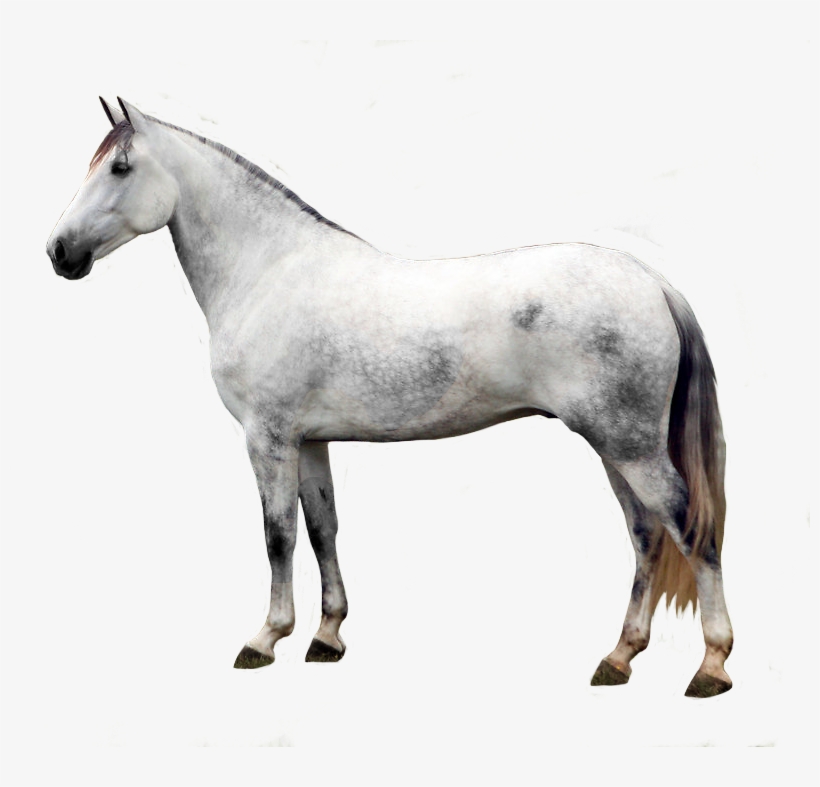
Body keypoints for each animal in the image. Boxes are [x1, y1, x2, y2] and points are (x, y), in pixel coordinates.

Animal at [47, 97, 733, 698]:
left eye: (119, 168)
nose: (58, 252)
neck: (267, 272)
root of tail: (654, 282)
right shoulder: (310, 440)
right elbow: (322, 528)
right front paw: (326, 636)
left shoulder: (268, 436)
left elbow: (277, 534)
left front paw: (266, 638)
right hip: (614, 448)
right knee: (645, 534)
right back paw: (619, 657)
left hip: (630, 446)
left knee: (688, 528)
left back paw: (711, 667)